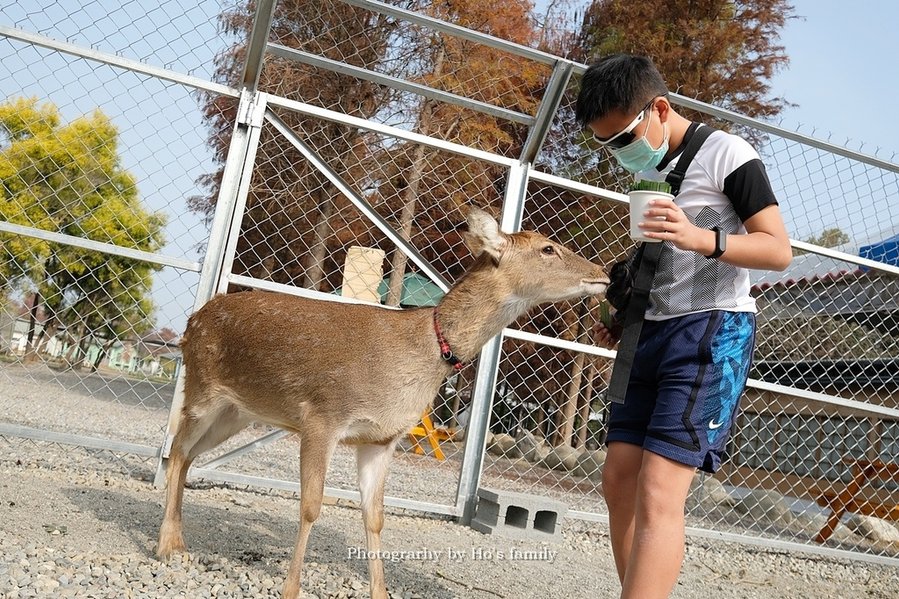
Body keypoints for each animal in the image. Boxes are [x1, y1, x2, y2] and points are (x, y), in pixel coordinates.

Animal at [156, 204, 612, 596]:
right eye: (548, 248)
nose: (603, 274)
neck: (417, 353)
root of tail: (191, 322)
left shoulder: (380, 439)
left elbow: (375, 517)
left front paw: (381, 591)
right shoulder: (322, 416)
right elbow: (311, 506)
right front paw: (290, 589)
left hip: (237, 412)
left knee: (190, 454)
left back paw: (177, 538)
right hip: (202, 389)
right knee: (176, 449)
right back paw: (168, 545)